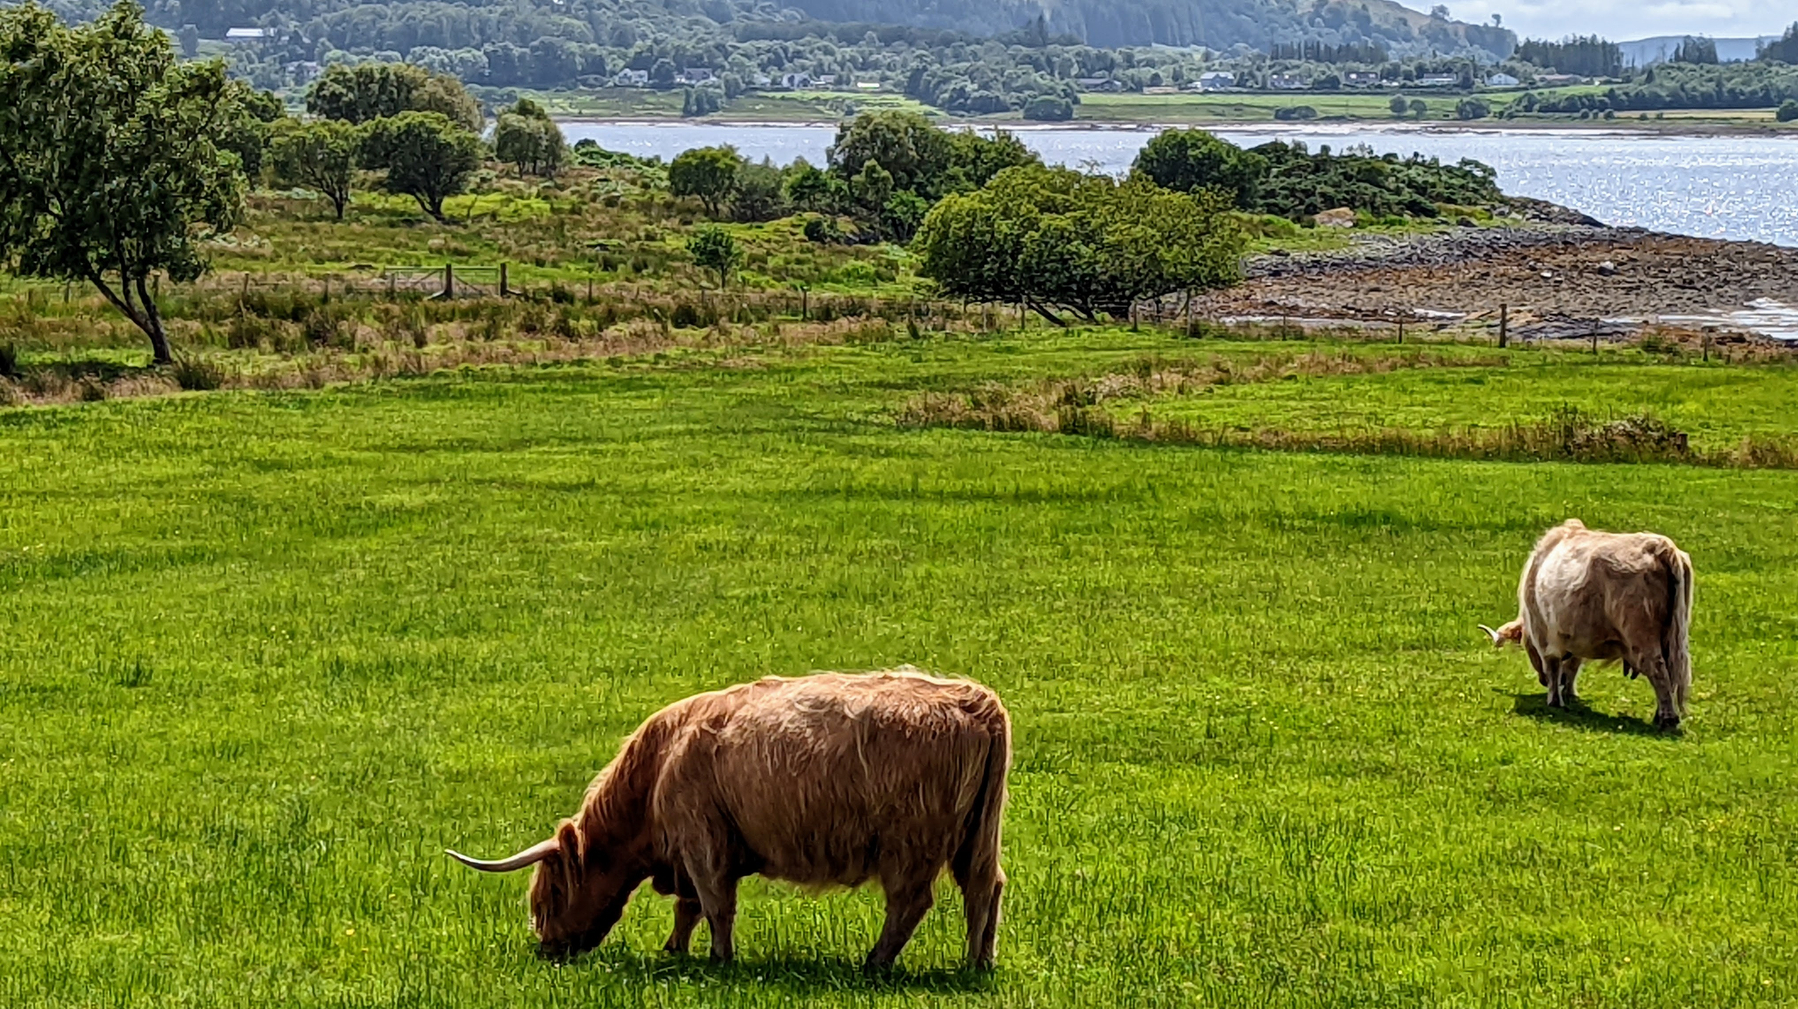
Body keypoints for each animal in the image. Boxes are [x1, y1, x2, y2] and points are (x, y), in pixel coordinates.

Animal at [447, 668, 1011, 971]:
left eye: (552, 894)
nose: (547, 949)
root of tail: (975, 700)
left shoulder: (702, 839)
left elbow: (715, 904)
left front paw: (720, 959)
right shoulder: (693, 849)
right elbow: (689, 907)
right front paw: (674, 951)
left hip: (908, 843)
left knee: (911, 902)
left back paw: (874, 963)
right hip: (979, 835)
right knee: (985, 887)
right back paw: (977, 962)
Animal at [1480, 519, 1693, 730]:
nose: (1542, 681)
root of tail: (1658, 546)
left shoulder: (1544, 634)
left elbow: (1553, 664)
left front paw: (1555, 700)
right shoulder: (1577, 637)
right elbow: (1572, 665)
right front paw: (1568, 693)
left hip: (1641, 636)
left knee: (1658, 670)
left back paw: (1667, 719)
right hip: (1671, 636)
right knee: (1670, 673)